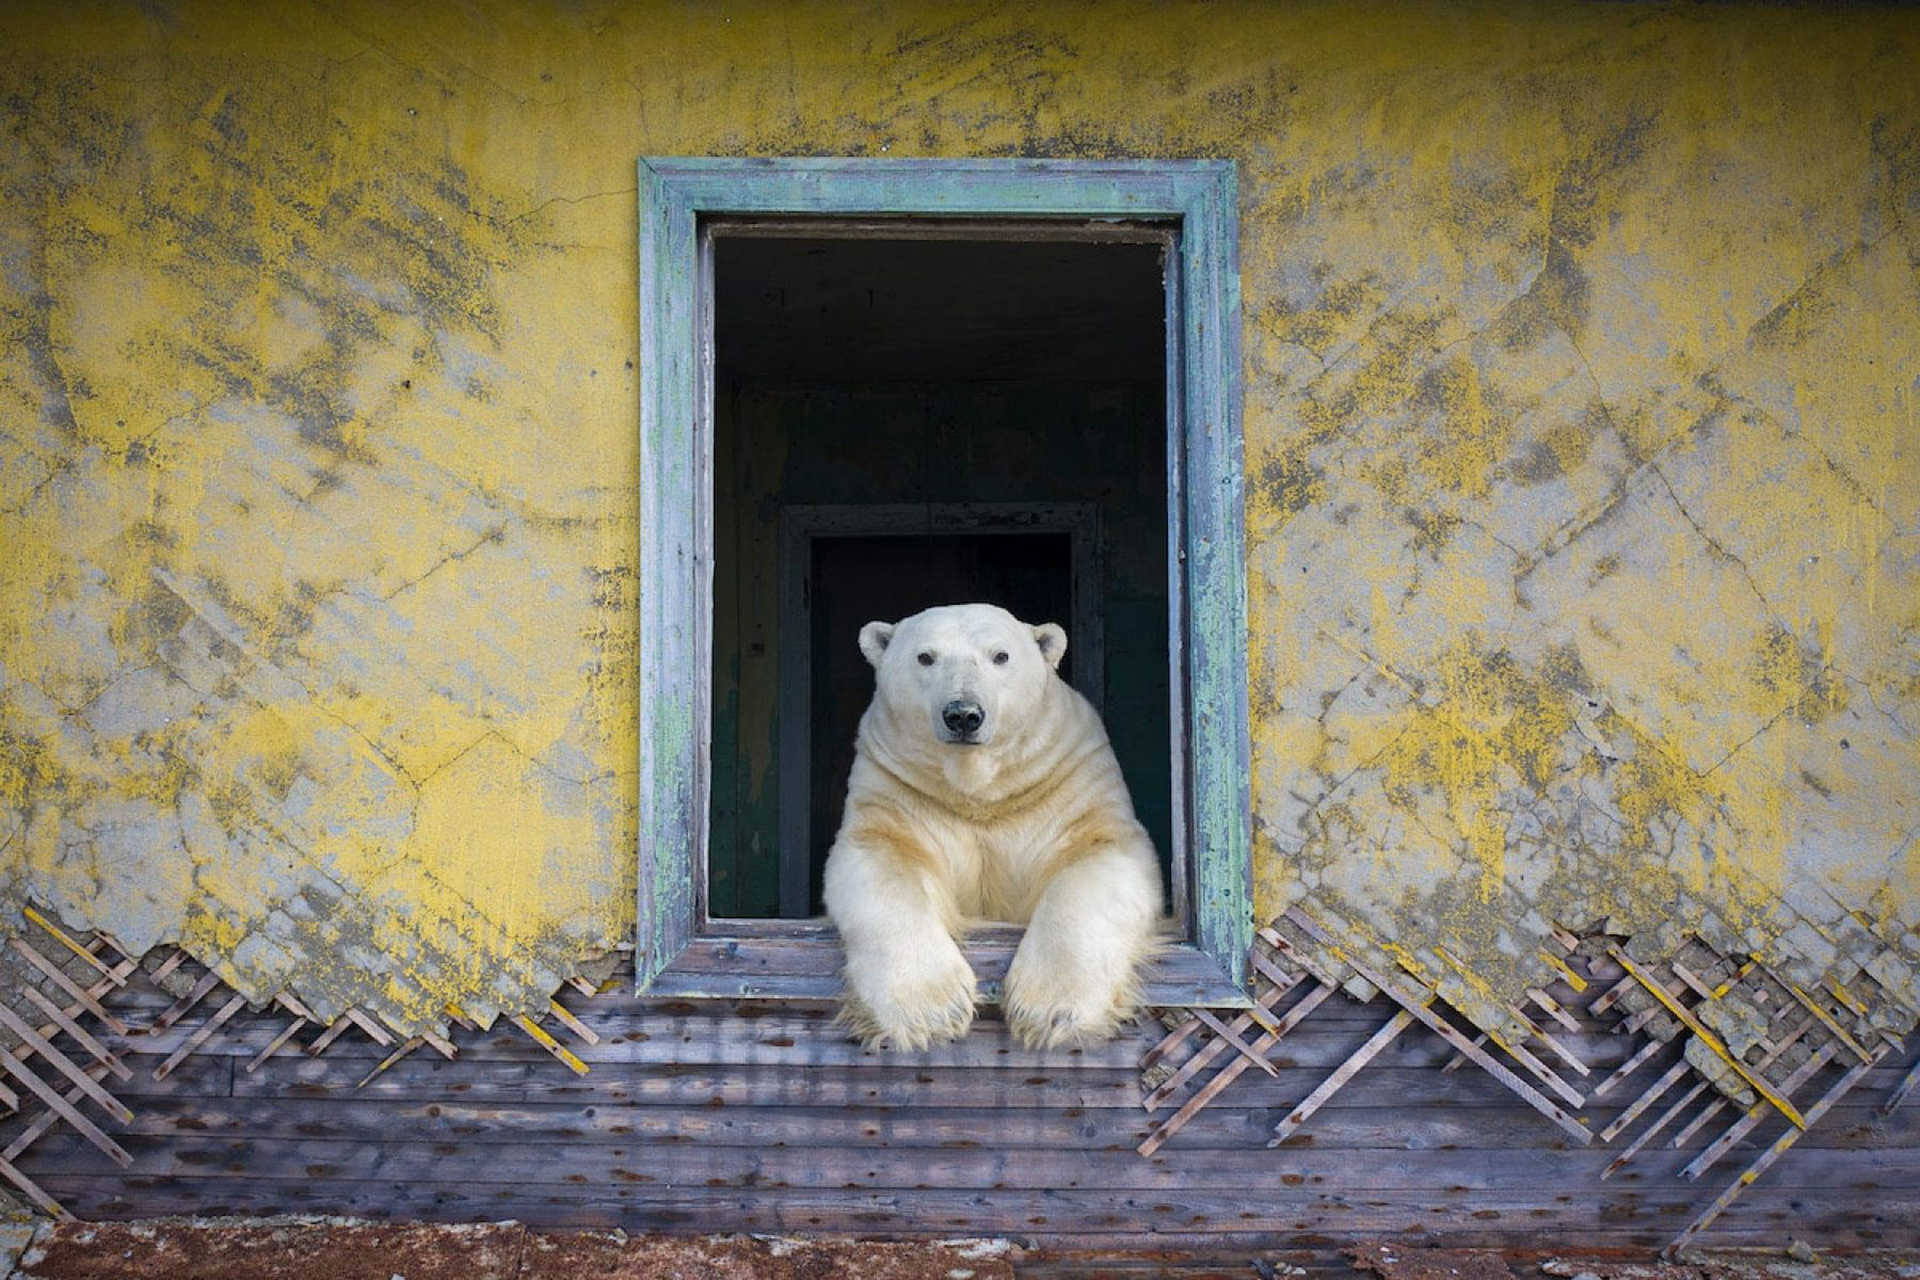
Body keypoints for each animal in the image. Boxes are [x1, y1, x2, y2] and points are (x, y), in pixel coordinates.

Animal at [821, 606, 1159, 1043]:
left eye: (1001, 656)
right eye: (925, 657)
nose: (963, 714)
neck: (980, 793)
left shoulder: (1070, 780)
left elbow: (1100, 856)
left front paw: (1049, 1010)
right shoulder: (897, 789)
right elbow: (881, 860)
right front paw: (932, 1011)